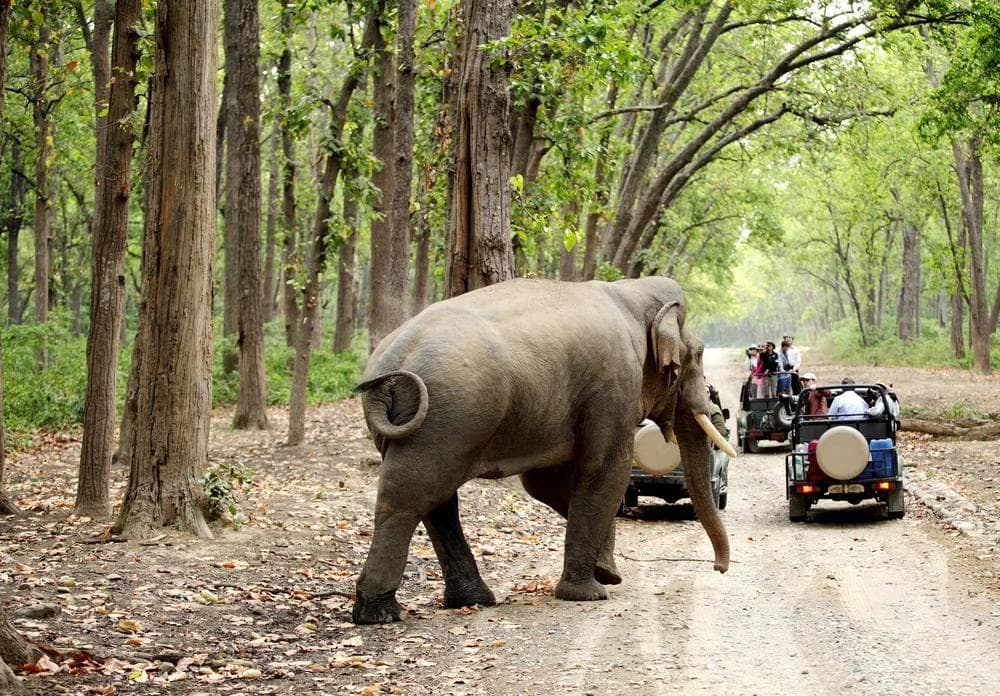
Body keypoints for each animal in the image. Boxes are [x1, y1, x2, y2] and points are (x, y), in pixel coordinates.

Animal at [352, 276, 735, 624]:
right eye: (698, 355)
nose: (719, 568)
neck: (628, 292)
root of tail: (390, 364)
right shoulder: (614, 384)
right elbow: (607, 470)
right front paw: (591, 593)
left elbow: (545, 483)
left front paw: (606, 572)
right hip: (447, 418)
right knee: (410, 498)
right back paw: (378, 613)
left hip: (432, 424)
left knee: (436, 500)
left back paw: (471, 600)